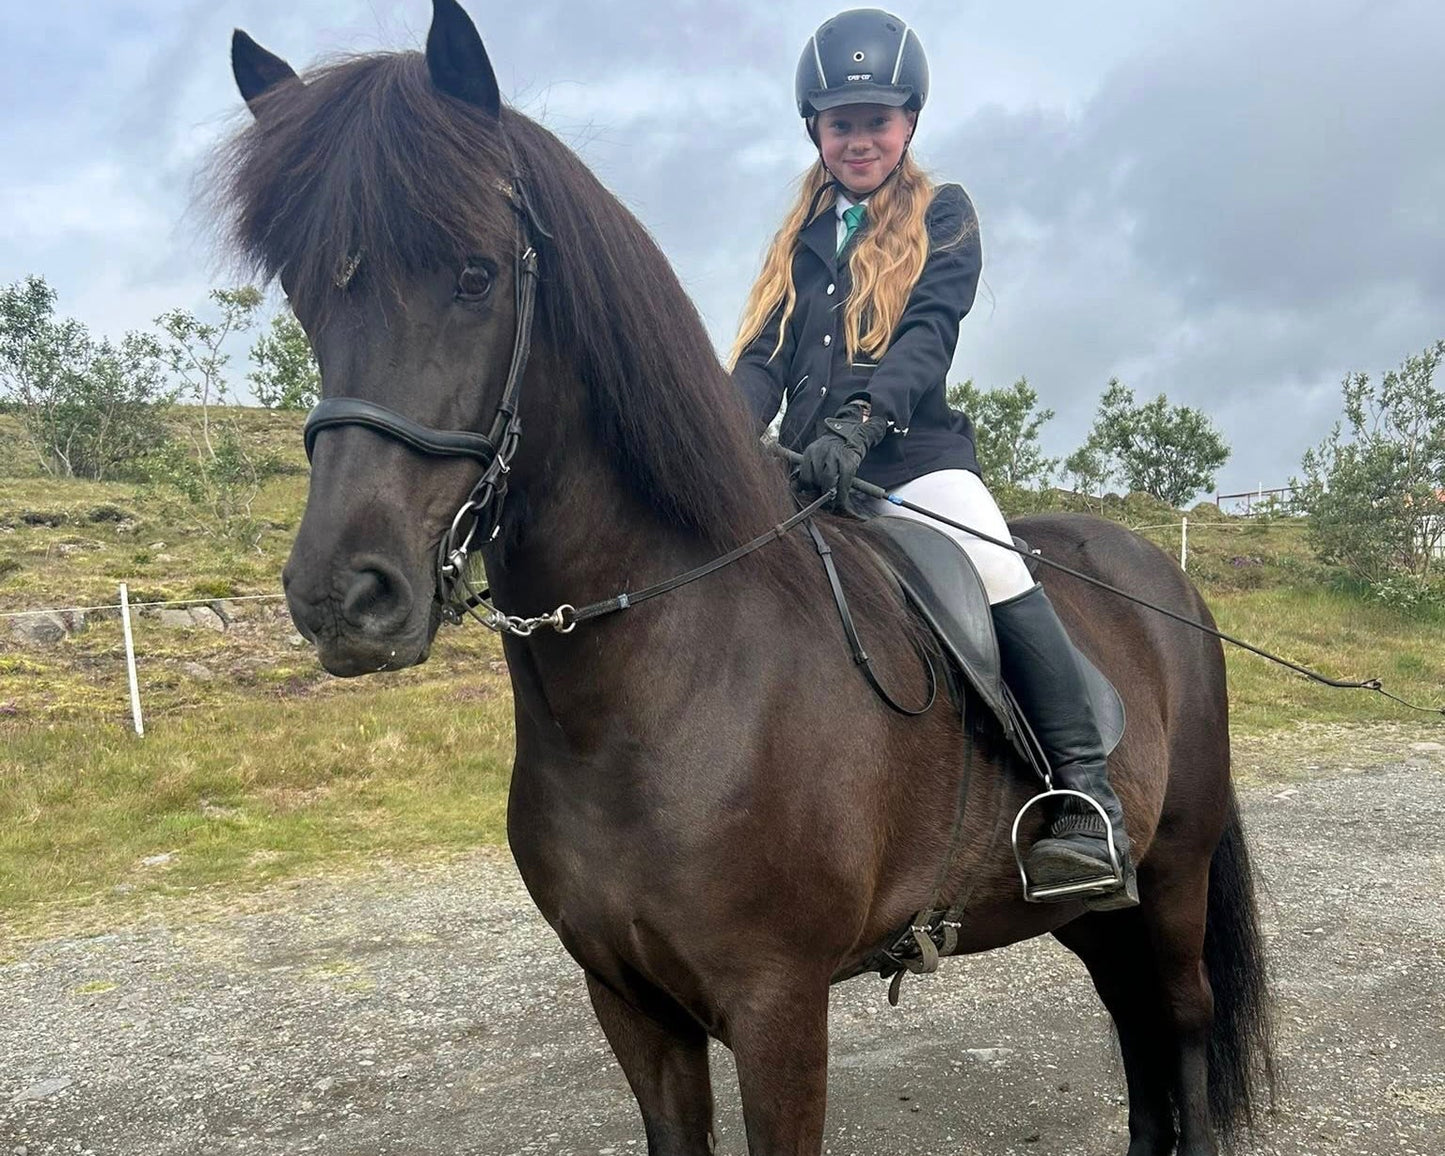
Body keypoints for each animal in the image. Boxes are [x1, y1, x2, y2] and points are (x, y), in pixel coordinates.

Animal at [217, 3, 1274, 1152]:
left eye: (475, 275)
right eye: (306, 294)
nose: (342, 598)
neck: (665, 678)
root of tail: (1163, 582)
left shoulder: (777, 1005)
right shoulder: (630, 1004)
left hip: (1168, 878)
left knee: (1177, 1028)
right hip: (1086, 913)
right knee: (1132, 1030)